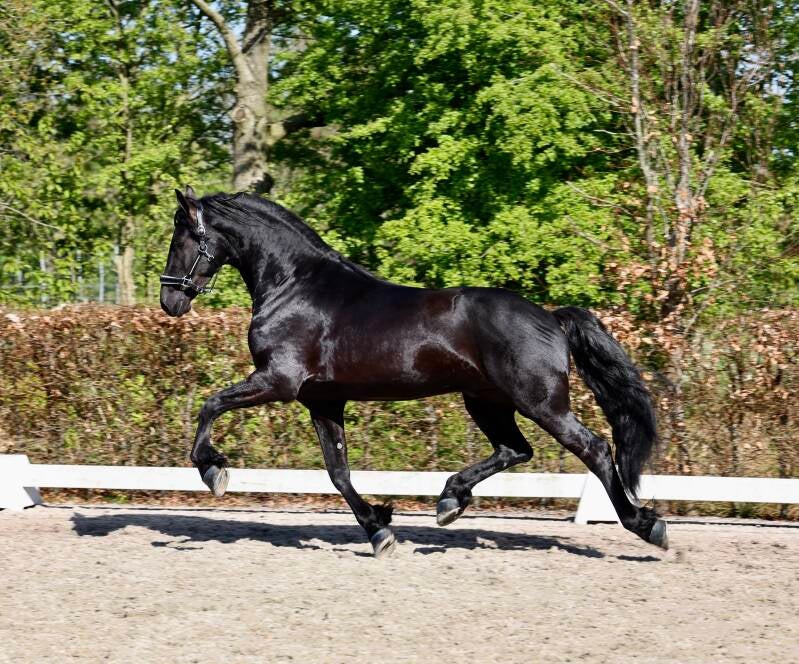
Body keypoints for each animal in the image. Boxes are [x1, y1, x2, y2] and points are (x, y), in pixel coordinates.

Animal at [160, 186, 667, 557]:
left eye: (182, 238)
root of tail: (550, 317)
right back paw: (449, 501)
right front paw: (379, 530)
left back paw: (648, 526)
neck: (294, 286)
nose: (170, 300)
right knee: (514, 449)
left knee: (594, 449)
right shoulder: (322, 400)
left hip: (541, 402)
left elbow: (210, 405)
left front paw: (214, 470)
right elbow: (338, 472)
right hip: (487, 401)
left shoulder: (277, 381)